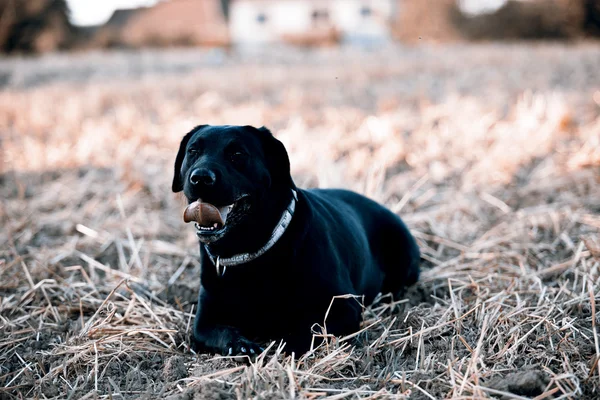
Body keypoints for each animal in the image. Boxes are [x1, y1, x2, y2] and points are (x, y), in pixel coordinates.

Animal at [171, 125, 420, 356]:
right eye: (193, 151)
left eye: (237, 154)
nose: (201, 177)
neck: (251, 251)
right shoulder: (205, 321)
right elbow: (220, 332)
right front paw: (242, 346)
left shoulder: (343, 307)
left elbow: (309, 331)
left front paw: (282, 347)